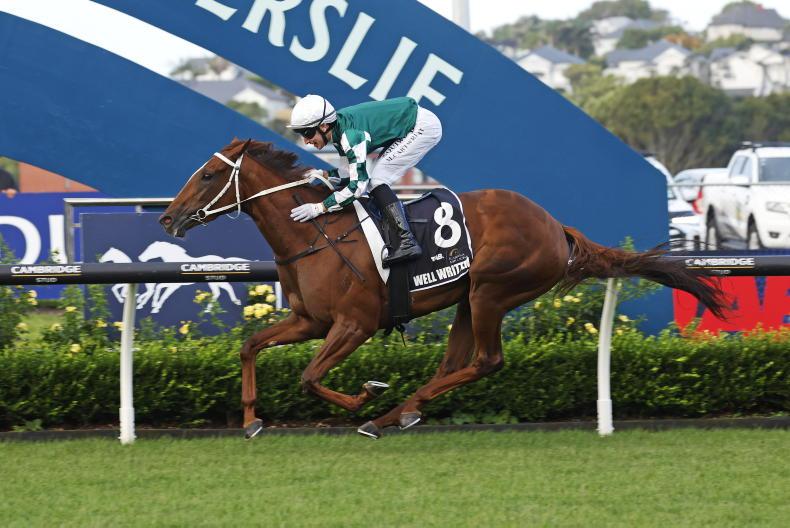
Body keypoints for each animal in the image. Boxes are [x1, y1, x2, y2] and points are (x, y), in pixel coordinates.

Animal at [159, 139, 728, 440]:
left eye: (207, 175)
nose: (167, 217)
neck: (313, 236)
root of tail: (554, 225)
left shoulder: (354, 324)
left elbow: (308, 377)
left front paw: (365, 392)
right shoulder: (310, 321)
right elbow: (250, 346)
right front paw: (251, 419)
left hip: (492, 292)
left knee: (486, 361)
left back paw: (387, 412)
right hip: (467, 300)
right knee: (455, 364)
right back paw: (398, 413)